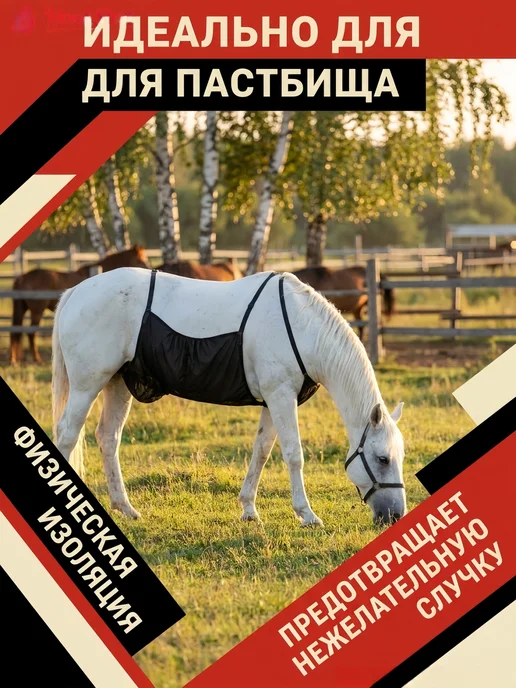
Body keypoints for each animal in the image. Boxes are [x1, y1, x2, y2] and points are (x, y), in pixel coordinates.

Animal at [10, 246, 149, 364]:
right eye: (139, 260)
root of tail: (21, 277)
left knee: (17, 332)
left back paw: (15, 359)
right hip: (37, 311)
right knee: (31, 333)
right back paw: (36, 359)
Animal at [51, 268, 406, 527]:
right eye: (382, 459)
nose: (394, 516)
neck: (302, 329)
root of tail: (75, 292)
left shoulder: (273, 401)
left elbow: (261, 451)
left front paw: (248, 509)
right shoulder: (281, 397)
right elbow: (293, 454)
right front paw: (306, 514)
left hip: (117, 384)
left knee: (108, 437)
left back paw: (125, 508)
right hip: (87, 385)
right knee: (68, 434)